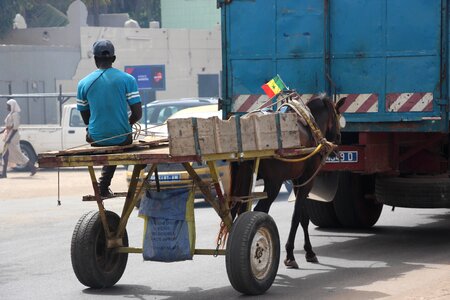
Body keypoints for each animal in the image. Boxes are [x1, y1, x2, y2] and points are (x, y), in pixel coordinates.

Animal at [229, 95, 344, 268]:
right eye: (338, 116)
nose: (338, 139)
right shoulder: (307, 181)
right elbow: (296, 216)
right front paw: (290, 255)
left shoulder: (297, 181)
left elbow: (303, 218)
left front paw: (309, 252)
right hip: (273, 184)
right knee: (260, 210)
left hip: (243, 179)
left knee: (236, 211)